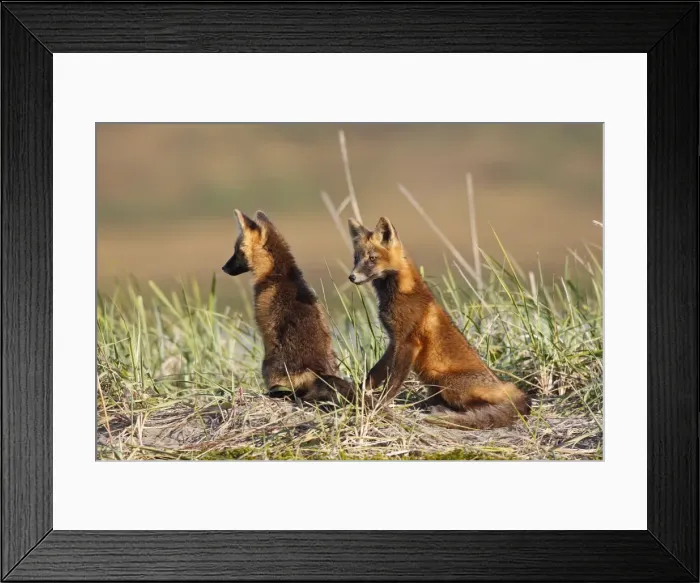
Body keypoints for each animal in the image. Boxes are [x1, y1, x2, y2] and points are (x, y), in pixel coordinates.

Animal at [347, 215, 530, 430]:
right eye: (356, 258)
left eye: (372, 258)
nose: (351, 277)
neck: (401, 293)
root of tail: (512, 389)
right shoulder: (394, 341)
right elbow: (374, 374)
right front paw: (360, 394)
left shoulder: (408, 342)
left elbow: (393, 382)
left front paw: (380, 404)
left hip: (444, 380)